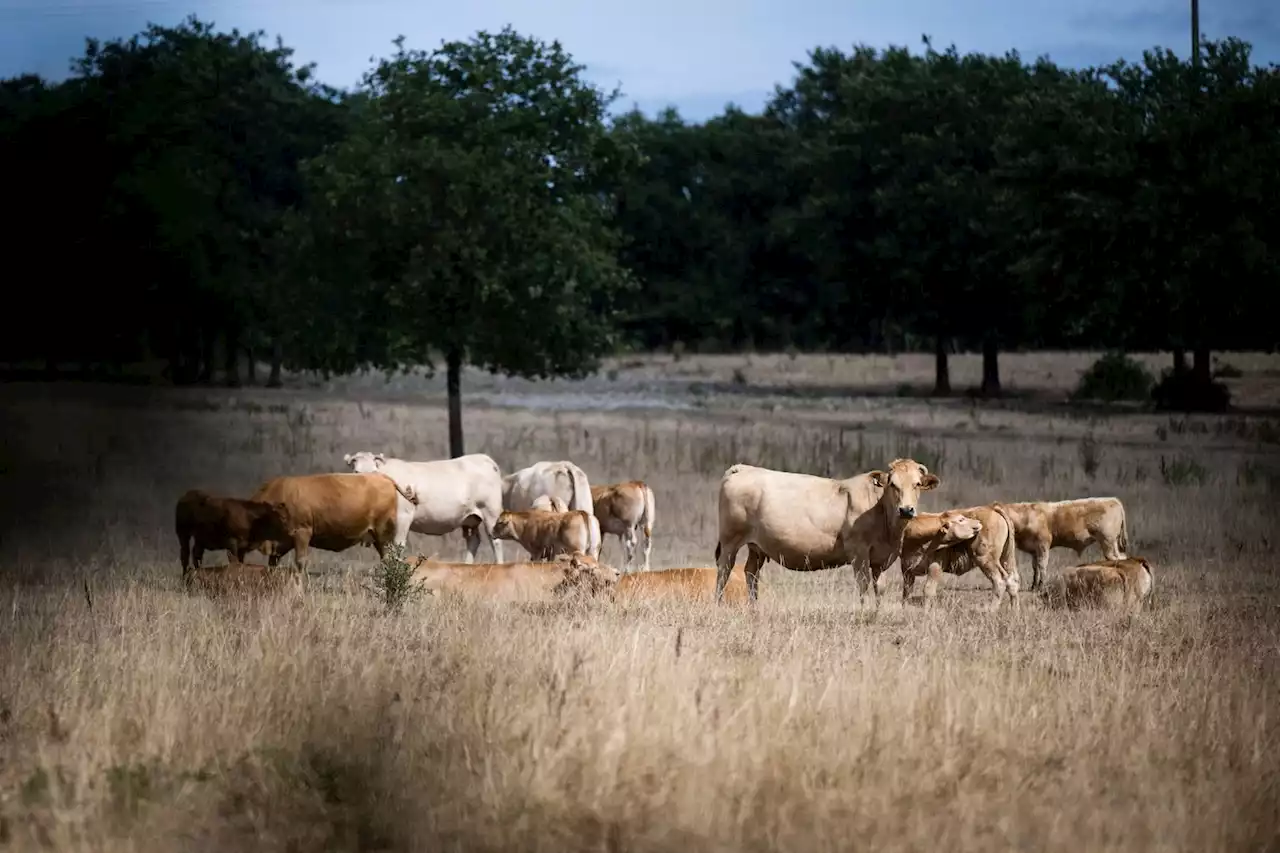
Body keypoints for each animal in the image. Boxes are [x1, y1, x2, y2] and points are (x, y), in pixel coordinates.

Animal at [252, 471, 422, 571]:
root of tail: (382, 477)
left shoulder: (302, 533)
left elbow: (300, 563)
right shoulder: (278, 545)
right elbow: (272, 565)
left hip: (383, 537)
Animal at [343, 448, 506, 560]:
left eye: (374, 472)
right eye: (356, 472)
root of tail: (484, 459)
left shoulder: (403, 517)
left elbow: (398, 547)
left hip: (491, 513)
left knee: (496, 541)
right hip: (470, 518)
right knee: (473, 540)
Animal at [711, 455, 942, 601]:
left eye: (917, 484)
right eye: (893, 484)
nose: (906, 510)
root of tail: (742, 468)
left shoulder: (880, 558)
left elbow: (880, 589)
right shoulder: (859, 553)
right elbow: (863, 584)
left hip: (757, 546)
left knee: (751, 572)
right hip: (730, 541)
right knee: (724, 571)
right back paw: (719, 604)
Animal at [998, 494, 1131, 589]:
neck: (1027, 517)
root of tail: (1113, 500)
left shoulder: (1043, 546)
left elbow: (1042, 566)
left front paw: (1040, 586)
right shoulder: (1034, 550)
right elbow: (1035, 568)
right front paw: (1034, 586)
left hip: (1108, 543)